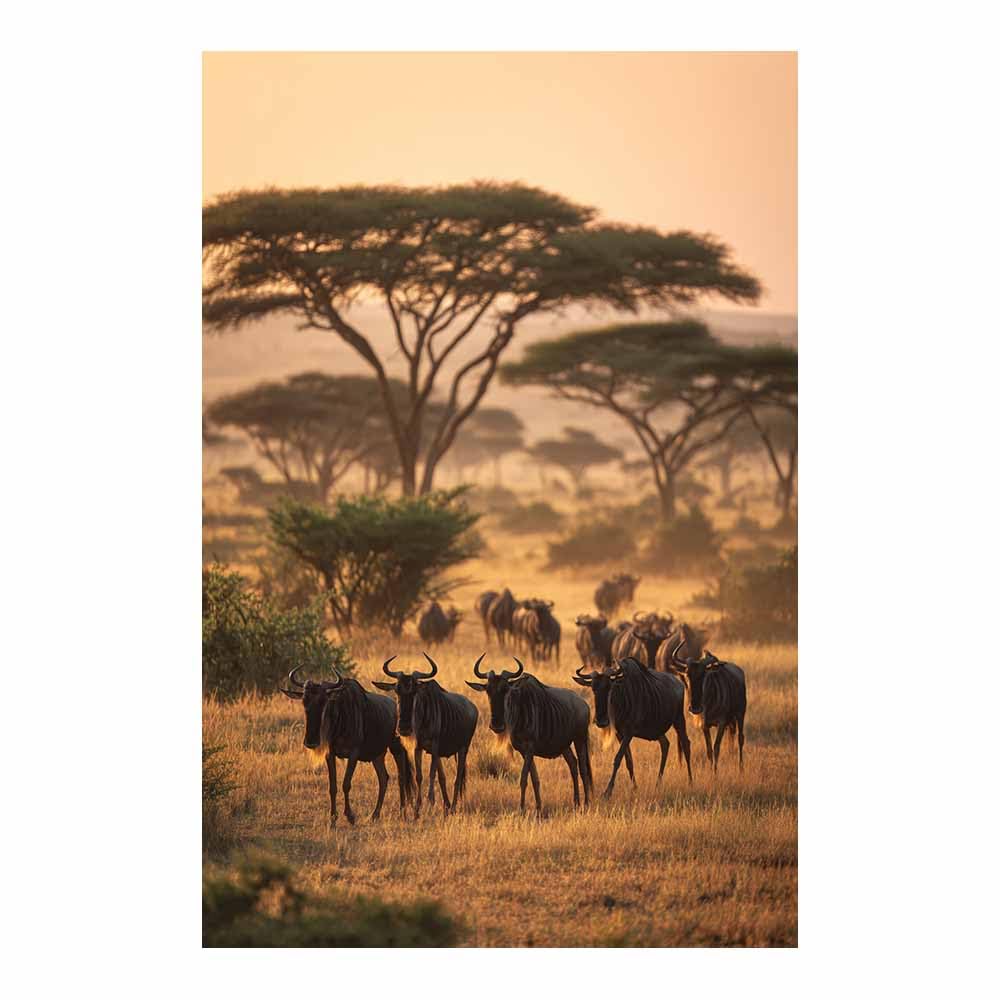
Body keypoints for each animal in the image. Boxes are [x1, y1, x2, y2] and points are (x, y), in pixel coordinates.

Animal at [280, 667, 415, 825]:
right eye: (304, 701)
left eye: (324, 701)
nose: (311, 741)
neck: (340, 719)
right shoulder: (330, 754)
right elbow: (332, 786)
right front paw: (333, 819)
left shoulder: (353, 754)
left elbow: (346, 783)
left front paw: (350, 816)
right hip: (377, 755)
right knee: (383, 778)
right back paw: (374, 815)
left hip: (396, 749)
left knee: (401, 778)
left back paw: (402, 814)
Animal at [371, 653, 478, 816]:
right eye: (397, 690)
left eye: (414, 692)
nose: (404, 728)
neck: (422, 718)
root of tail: (473, 708)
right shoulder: (419, 747)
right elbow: (420, 776)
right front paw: (417, 809)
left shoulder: (434, 746)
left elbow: (431, 774)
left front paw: (430, 801)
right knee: (443, 777)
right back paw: (447, 806)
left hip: (463, 749)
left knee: (458, 777)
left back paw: (453, 807)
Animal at [466, 655, 593, 812]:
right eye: (488, 691)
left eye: (506, 690)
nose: (497, 725)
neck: (518, 712)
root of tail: (584, 704)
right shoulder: (523, 751)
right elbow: (534, 779)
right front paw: (538, 807)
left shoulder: (530, 749)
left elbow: (523, 778)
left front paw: (522, 809)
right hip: (564, 745)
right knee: (573, 765)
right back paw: (576, 803)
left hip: (580, 739)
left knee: (583, 769)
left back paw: (586, 804)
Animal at [573, 658, 692, 798]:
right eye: (593, 688)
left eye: (609, 688)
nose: (601, 721)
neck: (621, 699)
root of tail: (679, 683)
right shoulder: (620, 734)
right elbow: (628, 761)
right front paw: (635, 787)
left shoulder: (629, 733)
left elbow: (618, 758)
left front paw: (608, 791)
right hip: (658, 730)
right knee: (665, 744)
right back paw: (658, 784)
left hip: (679, 720)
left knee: (686, 744)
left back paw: (690, 781)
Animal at [671, 642, 747, 772]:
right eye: (687, 675)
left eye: (703, 675)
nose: (695, 707)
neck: (709, 702)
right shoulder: (705, 726)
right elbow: (709, 750)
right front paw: (711, 770)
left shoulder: (721, 723)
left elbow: (716, 748)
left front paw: (715, 772)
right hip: (731, 721)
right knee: (731, 736)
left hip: (740, 714)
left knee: (740, 738)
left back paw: (741, 768)